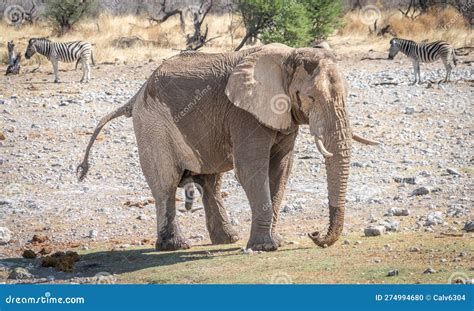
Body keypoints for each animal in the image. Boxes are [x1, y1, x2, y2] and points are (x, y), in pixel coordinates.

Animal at [77, 44, 378, 252]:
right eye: (310, 97)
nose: (314, 235)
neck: (287, 58)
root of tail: (136, 94)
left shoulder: (283, 116)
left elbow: (281, 169)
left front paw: (273, 241)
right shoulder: (244, 114)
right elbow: (251, 170)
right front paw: (266, 247)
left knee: (210, 182)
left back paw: (226, 239)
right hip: (152, 125)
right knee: (165, 184)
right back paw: (175, 246)